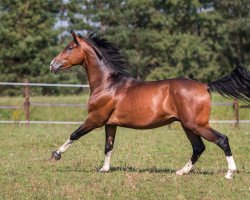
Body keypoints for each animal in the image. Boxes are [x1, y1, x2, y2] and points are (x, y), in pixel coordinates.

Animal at [49, 30, 250, 180]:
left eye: (69, 47)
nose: (52, 65)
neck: (107, 84)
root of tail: (205, 85)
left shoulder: (95, 119)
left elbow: (75, 134)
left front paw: (55, 155)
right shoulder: (110, 123)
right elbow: (109, 146)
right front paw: (104, 169)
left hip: (196, 124)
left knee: (222, 140)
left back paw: (229, 173)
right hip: (188, 125)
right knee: (198, 147)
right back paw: (181, 171)